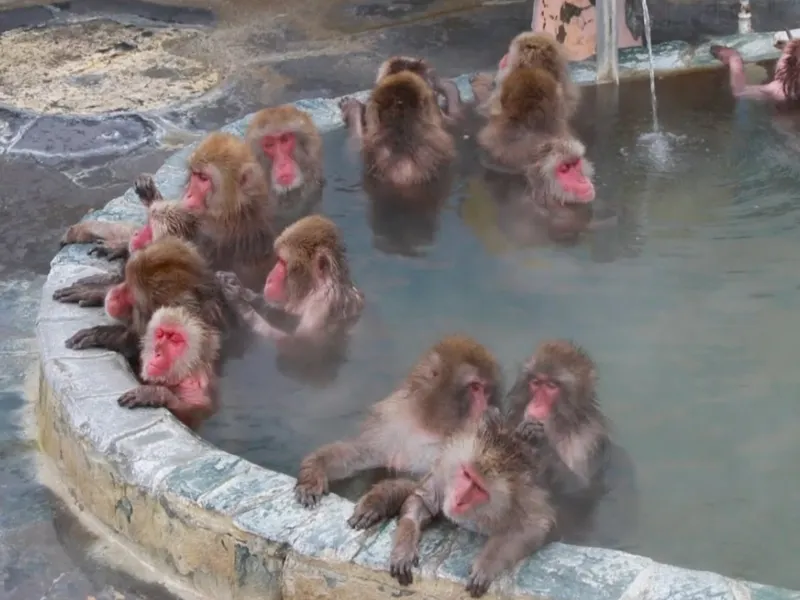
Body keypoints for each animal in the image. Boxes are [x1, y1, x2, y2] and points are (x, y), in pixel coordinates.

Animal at [290, 335, 503, 514]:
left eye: (486, 391)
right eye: (475, 388)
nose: (486, 406)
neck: (428, 425)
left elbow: (430, 490)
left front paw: (378, 498)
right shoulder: (387, 419)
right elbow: (358, 454)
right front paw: (313, 472)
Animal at [388, 405, 555, 598]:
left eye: (479, 488)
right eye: (467, 474)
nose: (459, 499)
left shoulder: (523, 499)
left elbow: (532, 528)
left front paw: (486, 565)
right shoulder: (445, 471)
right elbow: (422, 501)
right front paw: (403, 549)